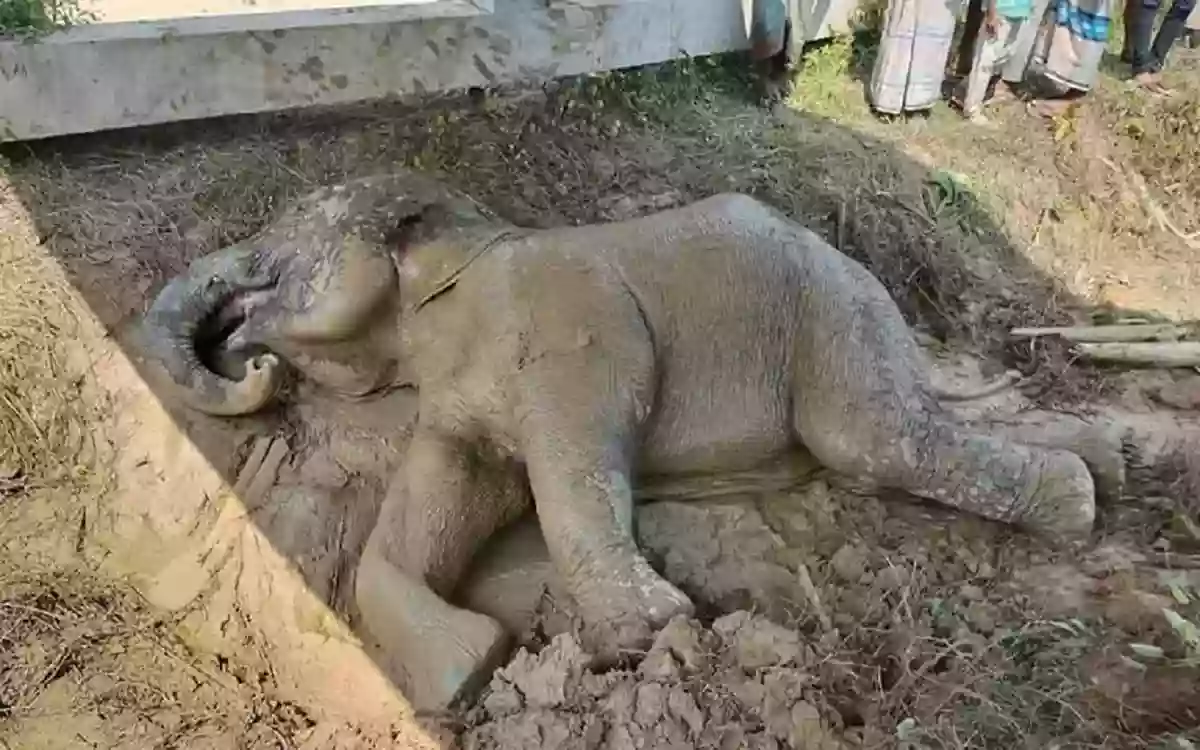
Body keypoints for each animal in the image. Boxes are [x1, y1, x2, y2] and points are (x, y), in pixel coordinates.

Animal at [135, 171, 1100, 713]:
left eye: (281, 254)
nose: (252, 357)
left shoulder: (566, 321)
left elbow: (570, 459)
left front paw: (647, 636)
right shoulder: (452, 395)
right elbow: (444, 500)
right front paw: (467, 673)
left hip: (834, 305)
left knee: (874, 438)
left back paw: (1081, 503)